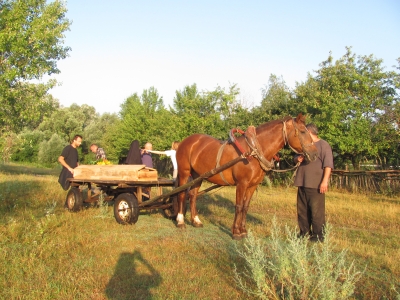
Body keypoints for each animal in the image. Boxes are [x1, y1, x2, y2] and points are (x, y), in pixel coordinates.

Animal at [175, 113, 318, 240]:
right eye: (302, 132)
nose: (315, 154)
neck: (253, 152)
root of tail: (185, 142)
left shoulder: (252, 185)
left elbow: (245, 207)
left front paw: (243, 230)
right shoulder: (241, 184)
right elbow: (238, 206)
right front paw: (236, 232)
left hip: (197, 176)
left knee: (192, 195)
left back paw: (196, 221)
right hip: (184, 173)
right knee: (181, 194)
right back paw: (180, 221)